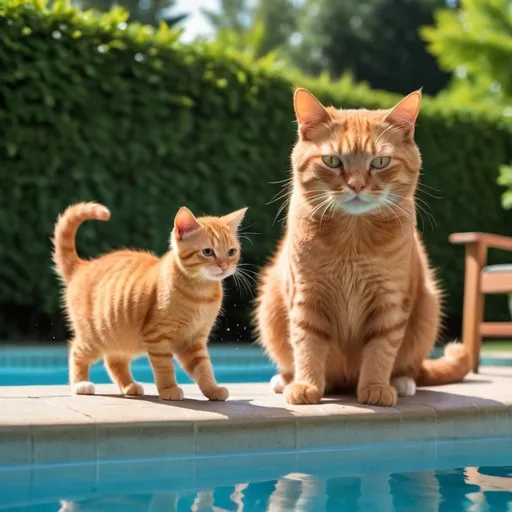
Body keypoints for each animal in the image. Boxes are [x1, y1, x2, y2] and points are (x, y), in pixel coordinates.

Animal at [53, 202, 247, 402]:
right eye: (208, 252)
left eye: (231, 252)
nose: (224, 265)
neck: (201, 293)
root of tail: (83, 267)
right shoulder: (157, 337)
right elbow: (165, 368)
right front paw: (169, 389)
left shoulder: (193, 340)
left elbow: (204, 368)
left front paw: (212, 389)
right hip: (97, 336)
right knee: (77, 351)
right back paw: (80, 384)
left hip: (121, 337)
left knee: (114, 360)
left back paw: (129, 386)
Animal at [256, 89, 472, 408]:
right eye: (332, 161)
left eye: (380, 162)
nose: (356, 185)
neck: (352, 239)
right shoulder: (307, 298)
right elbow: (307, 345)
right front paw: (306, 385)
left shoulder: (389, 302)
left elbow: (381, 350)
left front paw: (376, 388)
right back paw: (286, 380)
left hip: (428, 308)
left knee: (411, 368)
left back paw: (401, 382)